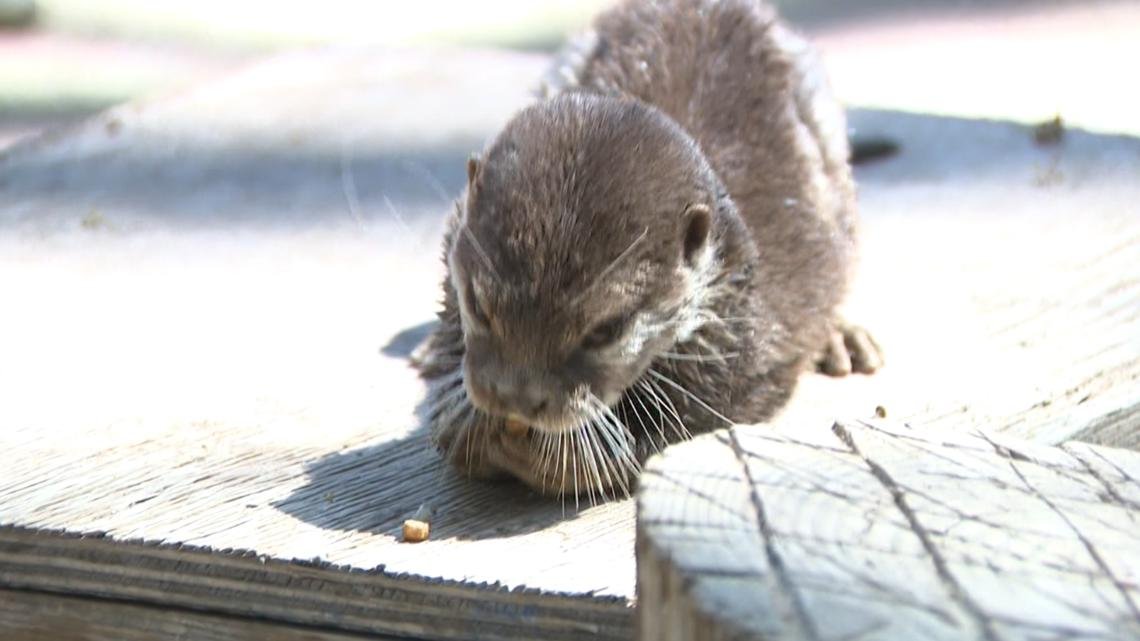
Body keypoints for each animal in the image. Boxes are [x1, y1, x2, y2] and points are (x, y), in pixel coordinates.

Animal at [412, 0, 880, 499]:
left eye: (606, 330)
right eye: (478, 305)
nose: (516, 397)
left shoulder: (754, 343)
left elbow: (709, 408)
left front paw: (575, 460)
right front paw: (459, 414)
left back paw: (843, 337)